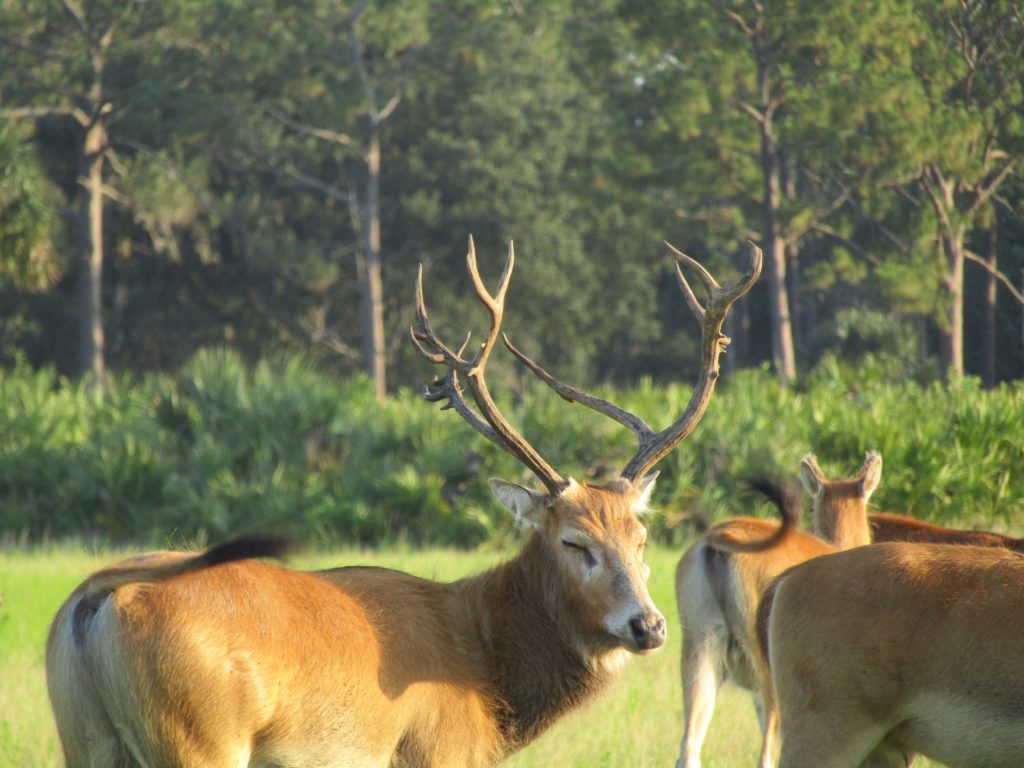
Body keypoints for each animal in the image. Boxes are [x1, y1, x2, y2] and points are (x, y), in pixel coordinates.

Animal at [47, 236, 761, 768]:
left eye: (641, 539)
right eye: (574, 542)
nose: (649, 625)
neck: (487, 680)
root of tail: (95, 602)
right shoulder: (434, 750)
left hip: (84, 737)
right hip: (199, 736)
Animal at [675, 451, 881, 768]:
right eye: (811, 505)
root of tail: (721, 540)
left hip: (699, 652)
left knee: (689, 747)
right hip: (769, 677)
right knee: (766, 754)